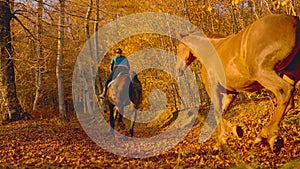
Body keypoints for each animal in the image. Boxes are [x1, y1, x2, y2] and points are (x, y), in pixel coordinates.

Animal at [175, 14, 298, 152]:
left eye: (179, 48)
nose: (177, 70)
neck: (211, 51)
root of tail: (295, 21)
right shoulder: (230, 93)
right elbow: (222, 112)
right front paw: (234, 131)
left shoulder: (214, 89)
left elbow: (217, 113)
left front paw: (223, 139)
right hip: (291, 74)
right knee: (289, 102)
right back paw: (272, 136)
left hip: (263, 73)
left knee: (284, 93)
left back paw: (264, 136)